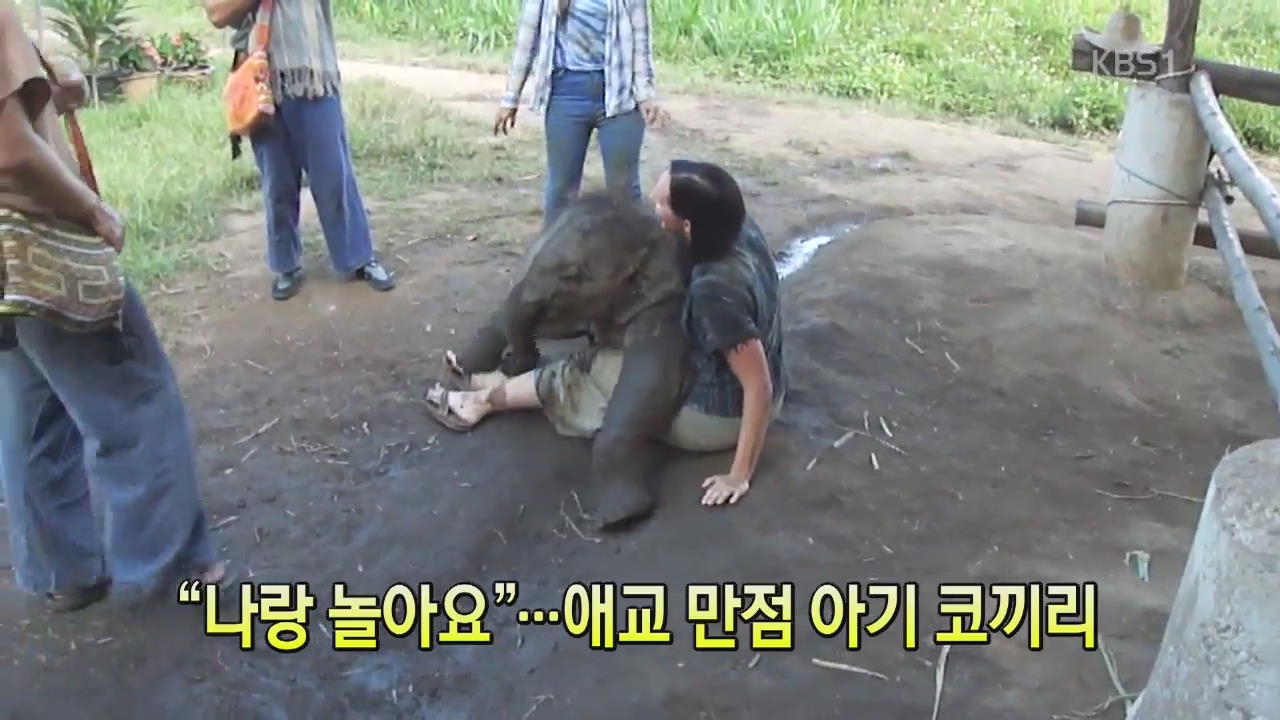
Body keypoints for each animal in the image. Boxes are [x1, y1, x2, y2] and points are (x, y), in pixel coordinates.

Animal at [448, 190, 691, 527]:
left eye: (574, 276)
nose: (514, 361)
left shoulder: (666, 302)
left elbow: (650, 380)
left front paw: (622, 517)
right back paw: (462, 364)